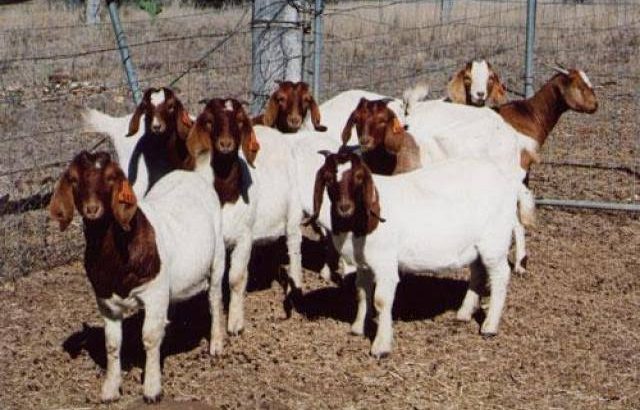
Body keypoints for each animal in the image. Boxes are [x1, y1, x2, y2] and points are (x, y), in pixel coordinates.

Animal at [48, 151, 225, 403]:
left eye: (111, 177)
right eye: (73, 179)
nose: (92, 209)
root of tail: (192, 174)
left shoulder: (153, 292)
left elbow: (149, 338)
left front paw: (152, 388)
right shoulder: (106, 302)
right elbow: (112, 344)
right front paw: (110, 389)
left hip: (217, 257)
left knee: (214, 299)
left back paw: (216, 345)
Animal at [187, 98, 304, 327]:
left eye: (240, 121)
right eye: (210, 122)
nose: (225, 144)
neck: (226, 197)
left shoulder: (244, 235)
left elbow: (236, 277)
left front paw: (235, 322)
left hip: (294, 210)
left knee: (294, 246)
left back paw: (295, 287)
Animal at [305, 151, 519, 357]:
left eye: (358, 177)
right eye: (328, 178)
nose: (345, 208)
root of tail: (501, 176)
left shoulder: (385, 263)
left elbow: (381, 300)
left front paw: (381, 347)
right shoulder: (363, 264)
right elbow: (362, 292)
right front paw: (358, 327)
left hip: (495, 240)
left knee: (500, 275)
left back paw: (490, 326)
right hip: (475, 245)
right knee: (478, 272)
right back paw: (464, 313)